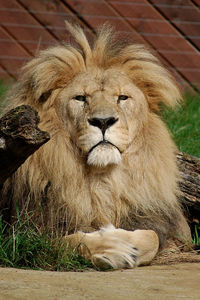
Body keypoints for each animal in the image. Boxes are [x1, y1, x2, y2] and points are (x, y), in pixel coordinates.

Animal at [1, 21, 192, 268]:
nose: (103, 121)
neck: (103, 180)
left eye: (122, 97)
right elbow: (71, 241)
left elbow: (152, 237)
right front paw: (114, 246)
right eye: (81, 98)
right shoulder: (23, 236)